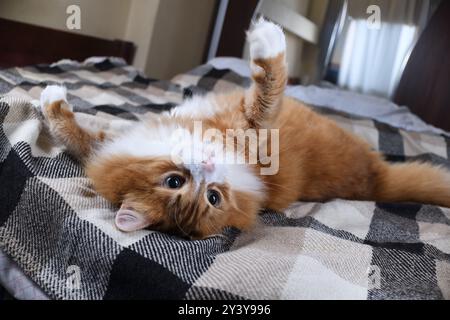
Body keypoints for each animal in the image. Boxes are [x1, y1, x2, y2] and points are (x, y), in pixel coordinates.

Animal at [38, 18, 450, 239]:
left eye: (211, 197)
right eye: (177, 183)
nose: (208, 170)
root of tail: (377, 182)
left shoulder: (112, 144)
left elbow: (79, 135)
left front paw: (50, 99)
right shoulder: (255, 127)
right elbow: (267, 87)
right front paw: (268, 42)